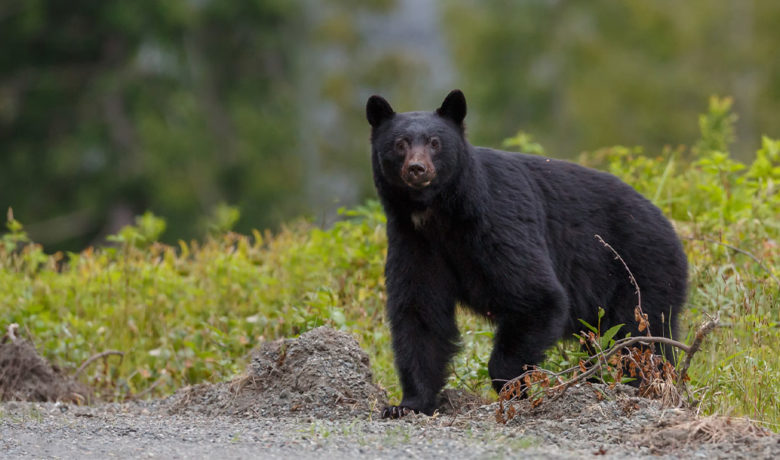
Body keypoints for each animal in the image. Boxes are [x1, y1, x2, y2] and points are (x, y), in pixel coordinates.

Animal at [366, 90, 688, 419]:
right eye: (400, 143)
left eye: (435, 142)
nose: (417, 169)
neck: (440, 214)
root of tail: (671, 228)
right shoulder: (414, 240)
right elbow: (420, 314)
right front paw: (407, 404)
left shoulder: (498, 222)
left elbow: (536, 296)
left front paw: (512, 388)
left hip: (639, 272)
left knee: (637, 339)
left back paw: (642, 384)